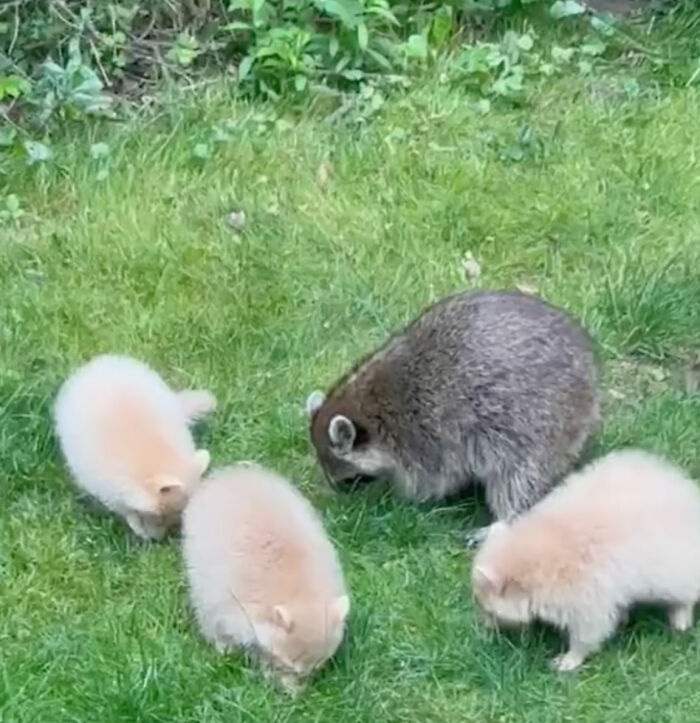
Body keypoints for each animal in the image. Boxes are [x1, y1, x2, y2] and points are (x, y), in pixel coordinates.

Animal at [307, 290, 599, 536]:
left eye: (349, 481)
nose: (339, 498)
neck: (369, 406)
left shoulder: (425, 438)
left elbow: (432, 482)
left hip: (541, 423)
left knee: (518, 477)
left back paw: (505, 520)